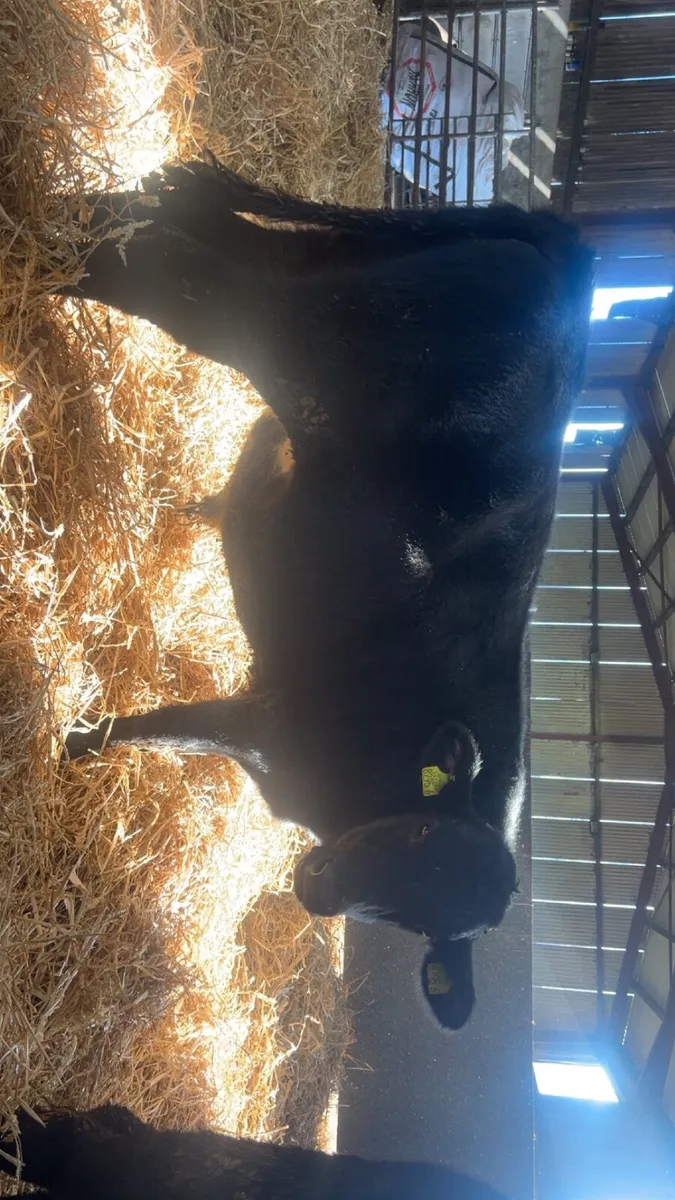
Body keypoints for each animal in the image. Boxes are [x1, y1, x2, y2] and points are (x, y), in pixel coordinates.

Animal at [62, 157, 594, 1029]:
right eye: (419, 837)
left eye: (421, 921)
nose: (320, 890)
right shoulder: (270, 723)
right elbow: (160, 727)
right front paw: (68, 742)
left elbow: (170, 734)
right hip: (305, 333)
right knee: (179, 279)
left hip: (321, 266)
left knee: (198, 228)